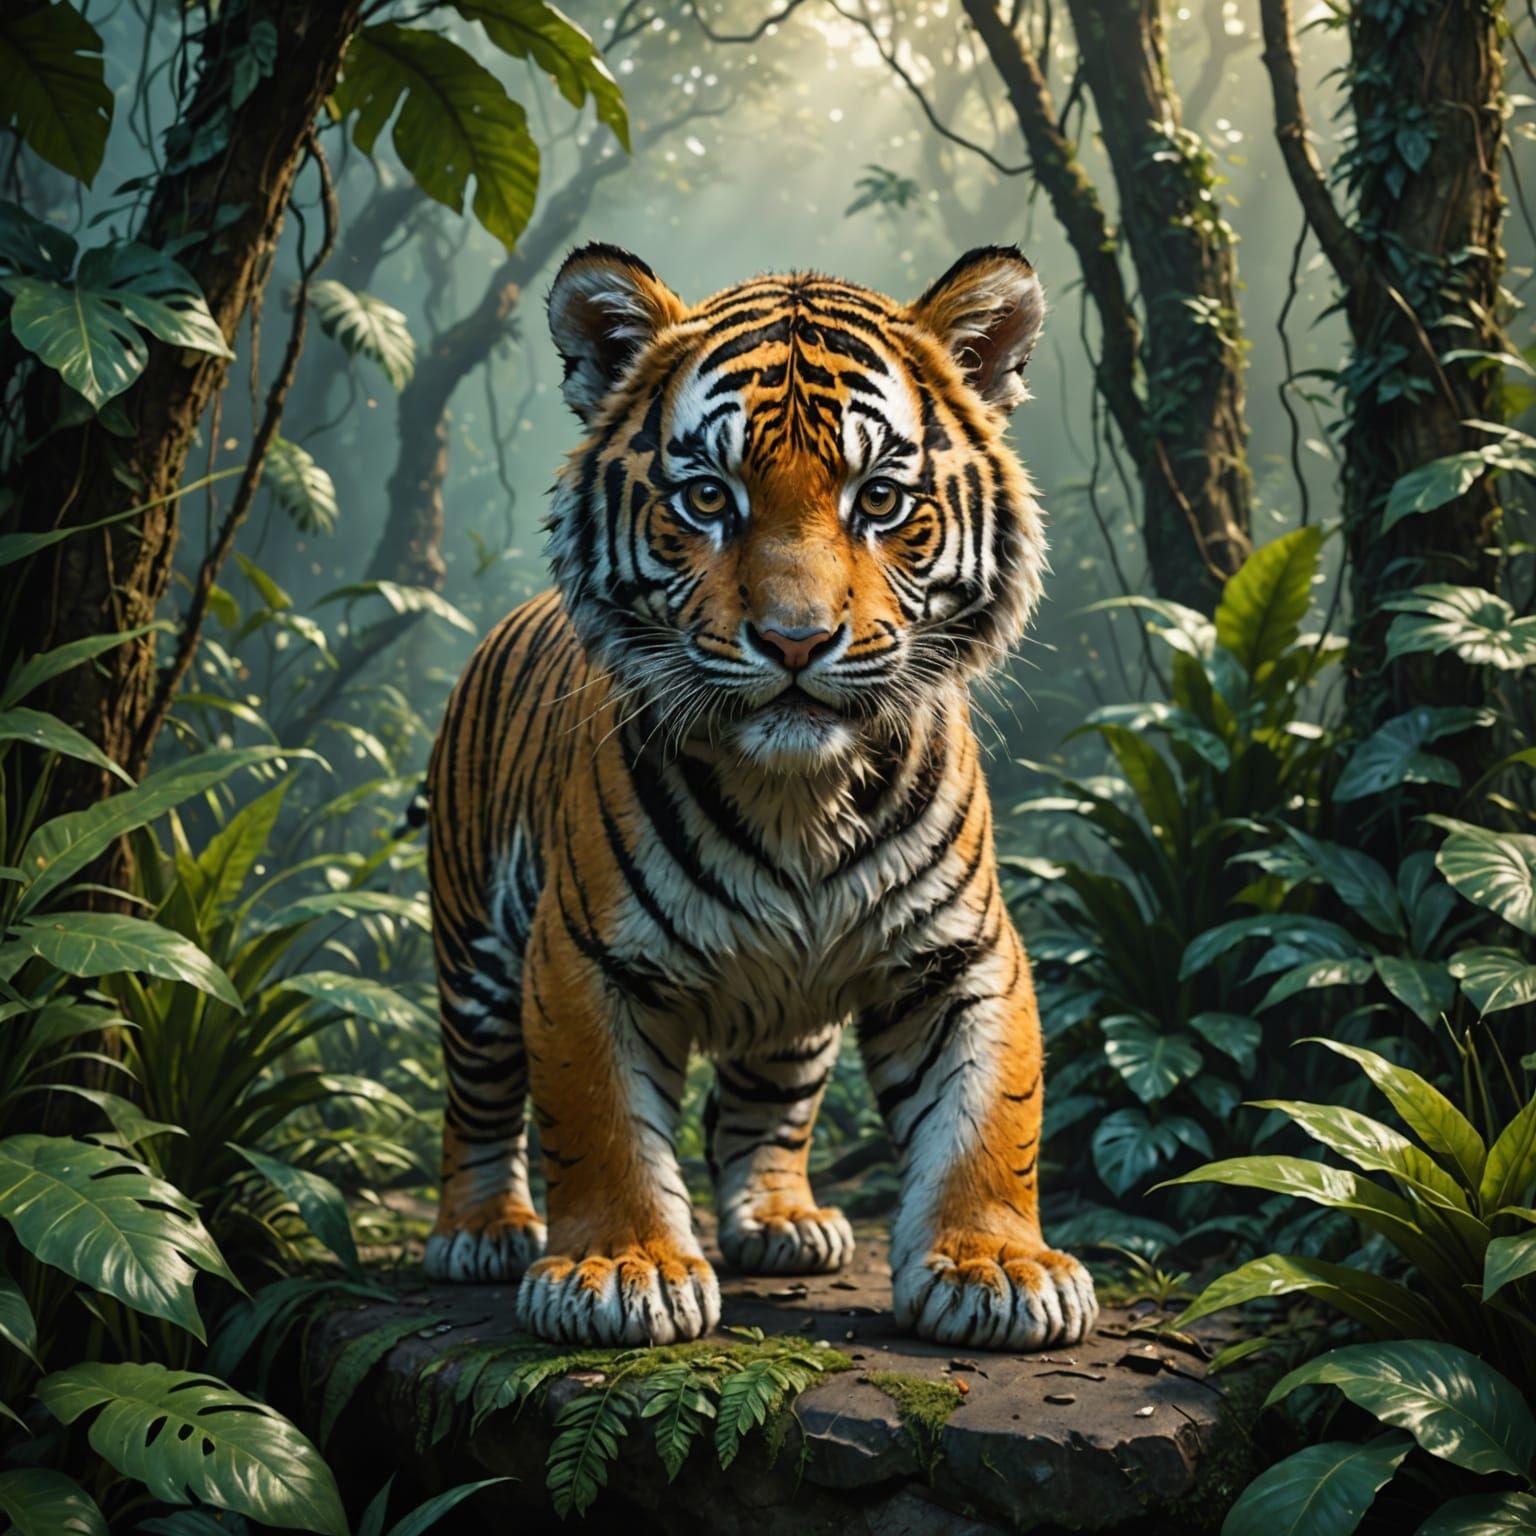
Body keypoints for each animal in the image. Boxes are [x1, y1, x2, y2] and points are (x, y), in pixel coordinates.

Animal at [420, 243, 1098, 1352]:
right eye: (706, 498)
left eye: (879, 499)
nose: (794, 640)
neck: (799, 795)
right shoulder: (581, 956)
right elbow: (601, 1123)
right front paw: (624, 1270)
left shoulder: (964, 952)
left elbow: (992, 1115)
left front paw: (997, 1265)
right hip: (475, 949)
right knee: (476, 1098)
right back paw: (479, 1231)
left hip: (790, 1014)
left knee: (764, 1111)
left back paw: (782, 1219)